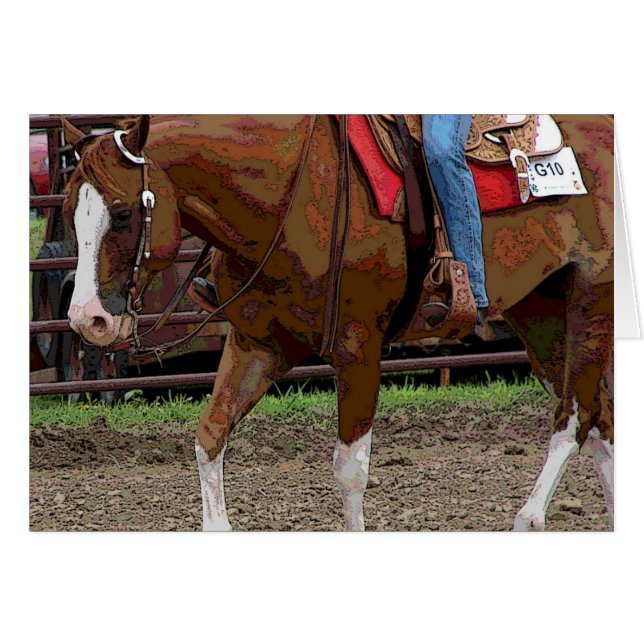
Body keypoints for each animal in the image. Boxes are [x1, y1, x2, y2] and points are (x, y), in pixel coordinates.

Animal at [60, 114, 614, 531]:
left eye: (124, 213)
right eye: (68, 212)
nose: (89, 320)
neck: (295, 194)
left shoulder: (359, 347)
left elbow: (350, 472)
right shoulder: (257, 343)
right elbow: (209, 435)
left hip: (592, 295)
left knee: (575, 416)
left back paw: (528, 517)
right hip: (538, 309)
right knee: (601, 422)